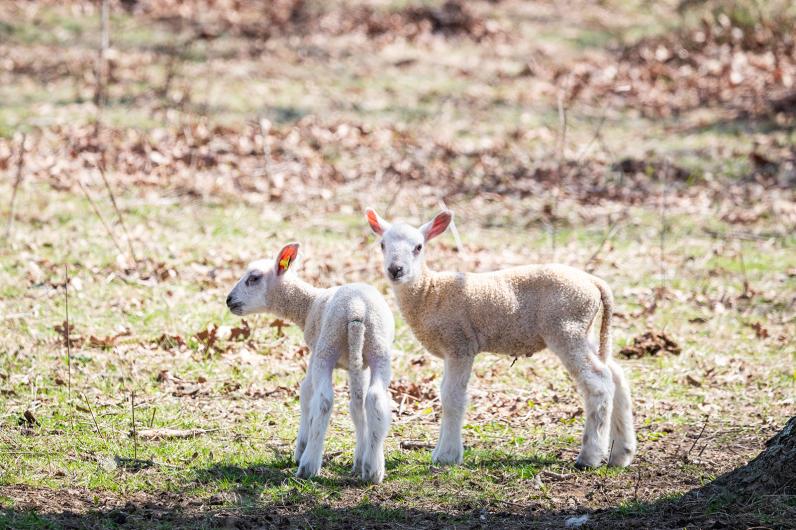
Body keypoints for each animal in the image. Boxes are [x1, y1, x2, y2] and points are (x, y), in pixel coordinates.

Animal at [226, 242, 395, 483]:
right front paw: (359, 459)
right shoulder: (358, 367)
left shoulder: (314, 353)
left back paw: (308, 464)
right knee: (375, 400)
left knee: (323, 400)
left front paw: (300, 449)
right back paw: (373, 469)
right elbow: (356, 404)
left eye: (254, 278)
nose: (229, 300)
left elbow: (306, 394)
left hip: (327, 348)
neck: (307, 305)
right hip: (378, 350)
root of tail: (357, 309)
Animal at [364, 208, 636, 469]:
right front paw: (441, 452)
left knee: (599, 381)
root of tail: (594, 282)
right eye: (382, 245)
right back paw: (621, 454)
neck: (430, 292)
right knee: (616, 375)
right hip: (583, 330)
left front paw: (447, 456)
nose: (395, 270)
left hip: (566, 327)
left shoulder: (459, 344)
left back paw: (589, 457)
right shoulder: (451, 348)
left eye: (418, 247)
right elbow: (444, 394)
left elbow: (452, 398)